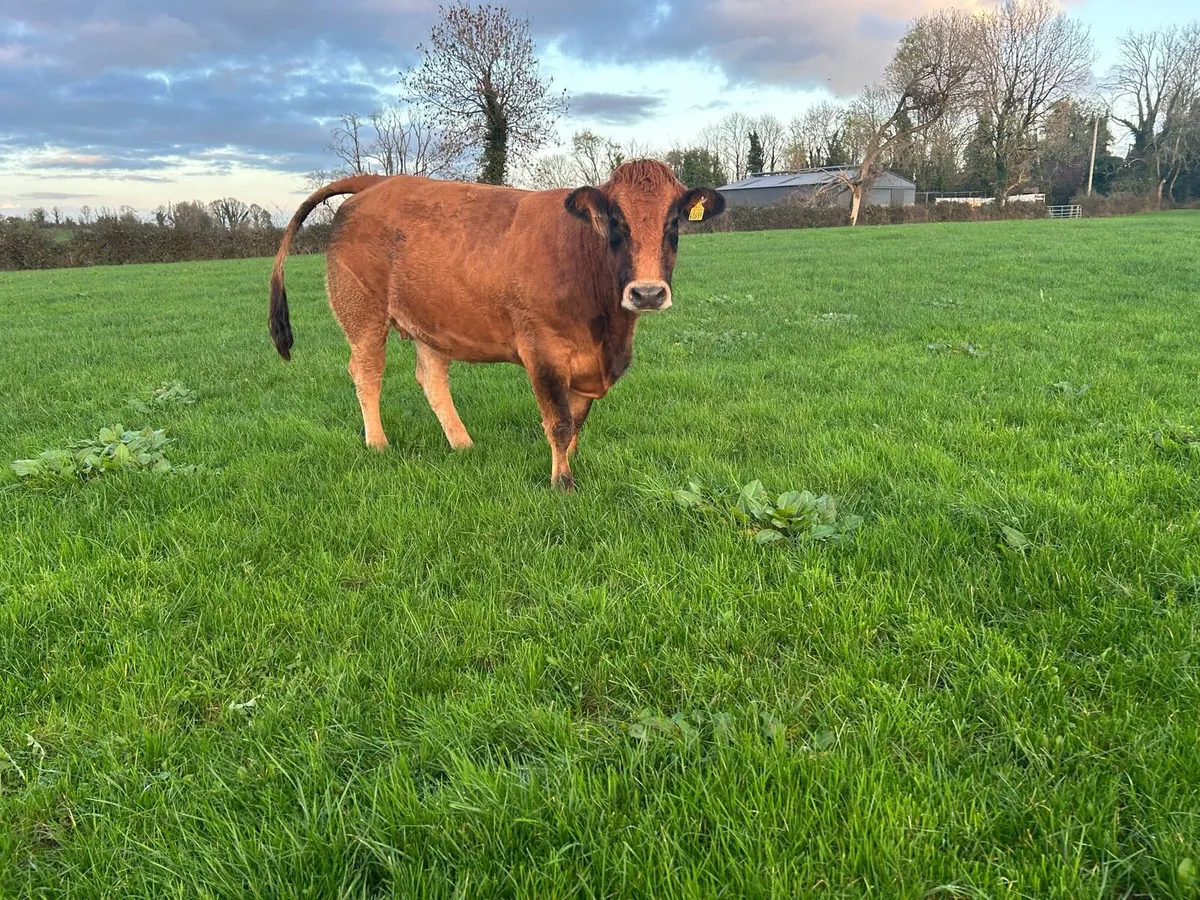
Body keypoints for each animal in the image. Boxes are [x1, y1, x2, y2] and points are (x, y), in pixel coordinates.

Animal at [268, 159, 726, 491]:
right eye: (616, 222)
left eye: (673, 223)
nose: (647, 294)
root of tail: (376, 182)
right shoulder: (542, 352)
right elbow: (559, 422)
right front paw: (562, 481)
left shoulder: (587, 363)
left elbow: (577, 420)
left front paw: (572, 461)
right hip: (363, 313)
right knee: (367, 373)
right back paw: (378, 444)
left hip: (431, 317)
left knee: (431, 378)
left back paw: (463, 444)